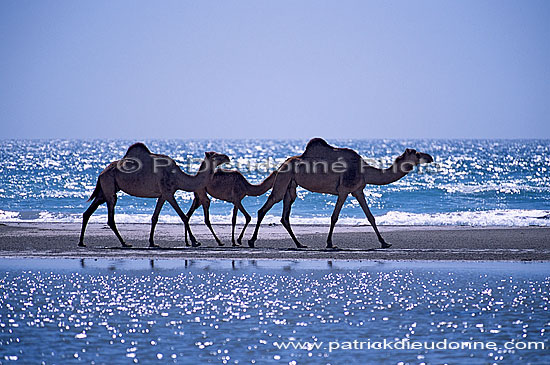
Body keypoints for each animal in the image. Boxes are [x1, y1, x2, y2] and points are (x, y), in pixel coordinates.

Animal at [78, 142, 231, 247]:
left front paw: (152, 242)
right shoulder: (168, 193)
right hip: (109, 187)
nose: (227, 157)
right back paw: (125, 243)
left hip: (104, 190)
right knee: (110, 217)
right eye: (215, 155)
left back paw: (82, 242)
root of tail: (101, 173)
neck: (178, 177)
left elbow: (155, 218)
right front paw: (195, 242)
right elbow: (183, 216)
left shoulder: (163, 195)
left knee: (88, 212)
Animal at [249, 138, 436, 249]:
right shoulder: (344, 190)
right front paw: (330, 243)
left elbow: (370, 217)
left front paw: (384, 242)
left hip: (291, 186)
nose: (430, 157)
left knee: (284, 216)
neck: (364, 170)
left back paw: (300, 244)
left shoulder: (358, 190)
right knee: (265, 207)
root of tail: (281, 165)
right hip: (283, 180)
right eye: (417, 154)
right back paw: (251, 241)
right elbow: (334, 217)